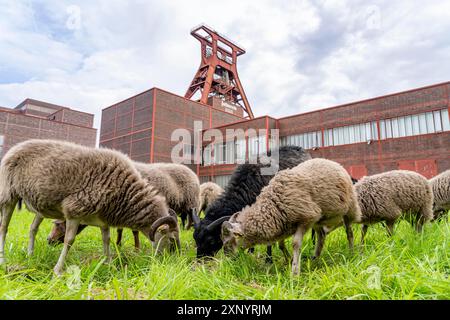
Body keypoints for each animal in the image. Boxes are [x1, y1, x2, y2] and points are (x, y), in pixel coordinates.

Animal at [0, 140, 179, 276]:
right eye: (170, 239)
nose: (166, 263)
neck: (124, 194)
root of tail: (16, 147)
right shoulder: (74, 210)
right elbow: (69, 240)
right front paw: (58, 271)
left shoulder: (103, 220)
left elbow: (106, 240)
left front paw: (109, 265)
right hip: (9, 194)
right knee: (4, 227)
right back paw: (3, 260)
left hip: (38, 206)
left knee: (32, 229)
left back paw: (30, 255)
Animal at [46, 160, 200, 245]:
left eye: (59, 225)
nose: (49, 240)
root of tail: (191, 172)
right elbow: (120, 229)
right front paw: (118, 243)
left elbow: (134, 231)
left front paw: (136, 248)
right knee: (185, 217)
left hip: (191, 202)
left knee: (191, 217)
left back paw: (188, 228)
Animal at [220, 159, 360, 274]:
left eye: (228, 241)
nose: (227, 260)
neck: (273, 205)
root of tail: (333, 163)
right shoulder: (285, 224)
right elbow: (281, 244)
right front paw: (289, 260)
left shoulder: (305, 219)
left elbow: (295, 244)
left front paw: (295, 271)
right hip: (318, 219)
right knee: (321, 236)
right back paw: (315, 258)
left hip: (349, 207)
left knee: (349, 232)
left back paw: (351, 252)